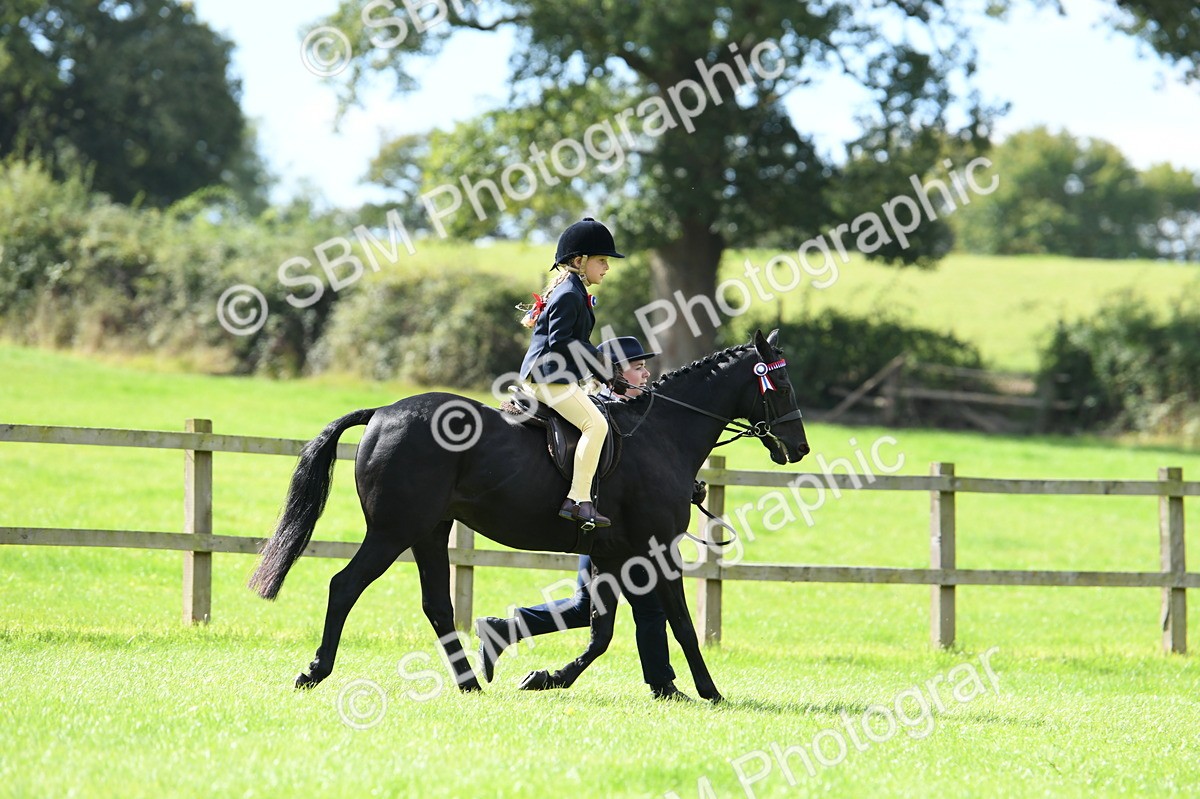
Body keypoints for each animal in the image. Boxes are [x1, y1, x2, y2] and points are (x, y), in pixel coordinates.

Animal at [248, 329, 809, 703]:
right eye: (780, 385)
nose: (799, 448)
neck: (660, 432)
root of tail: (382, 412)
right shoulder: (655, 551)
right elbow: (680, 624)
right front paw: (711, 691)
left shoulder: (613, 555)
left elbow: (602, 630)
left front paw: (547, 677)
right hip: (393, 531)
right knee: (344, 586)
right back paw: (315, 672)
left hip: (429, 531)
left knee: (437, 605)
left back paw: (471, 682)